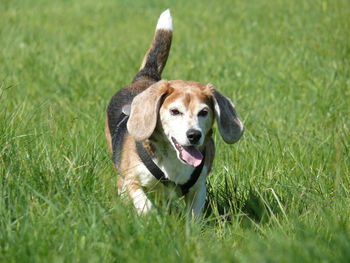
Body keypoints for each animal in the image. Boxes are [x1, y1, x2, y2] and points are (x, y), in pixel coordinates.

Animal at [105, 8, 245, 219]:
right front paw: (151, 220)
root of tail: (145, 77)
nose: (194, 135)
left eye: (204, 112)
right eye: (174, 111)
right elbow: (145, 205)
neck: (171, 157)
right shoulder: (132, 180)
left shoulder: (198, 188)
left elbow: (194, 216)